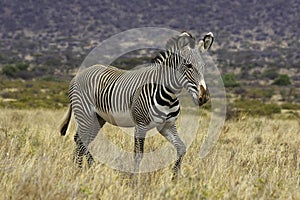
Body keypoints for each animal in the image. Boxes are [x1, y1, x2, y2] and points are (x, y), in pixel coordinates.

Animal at [59, 31, 213, 180]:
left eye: (204, 66)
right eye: (188, 65)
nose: (204, 97)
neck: (168, 95)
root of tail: (78, 75)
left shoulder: (167, 126)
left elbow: (181, 148)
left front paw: (174, 179)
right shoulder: (141, 124)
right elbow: (138, 154)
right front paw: (134, 181)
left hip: (98, 118)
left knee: (81, 140)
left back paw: (82, 169)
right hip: (85, 114)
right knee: (81, 141)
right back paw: (82, 170)